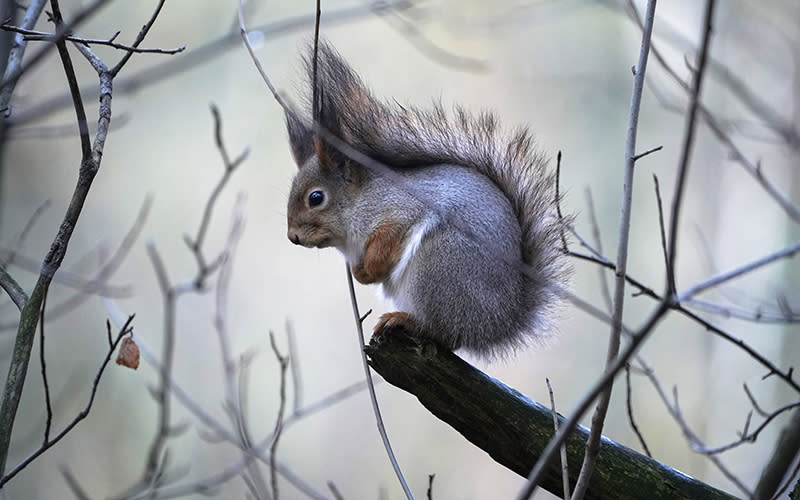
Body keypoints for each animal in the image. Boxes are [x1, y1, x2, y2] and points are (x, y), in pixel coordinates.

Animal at [284, 42, 564, 356]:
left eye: (316, 197)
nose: (292, 236)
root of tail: (499, 324)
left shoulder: (400, 210)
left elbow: (389, 239)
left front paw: (370, 269)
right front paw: (360, 274)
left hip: (438, 264)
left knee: (446, 334)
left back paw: (405, 319)